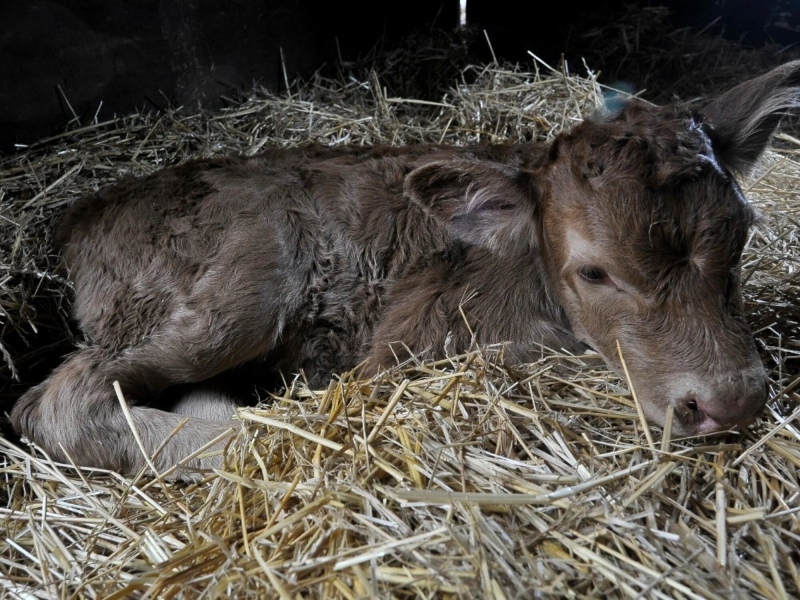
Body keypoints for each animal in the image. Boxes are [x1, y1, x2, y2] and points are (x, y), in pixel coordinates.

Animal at [12, 62, 800, 478]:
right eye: (596, 273)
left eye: (739, 241)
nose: (730, 402)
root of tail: (84, 206)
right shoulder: (410, 346)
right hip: (240, 289)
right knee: (58, 400)